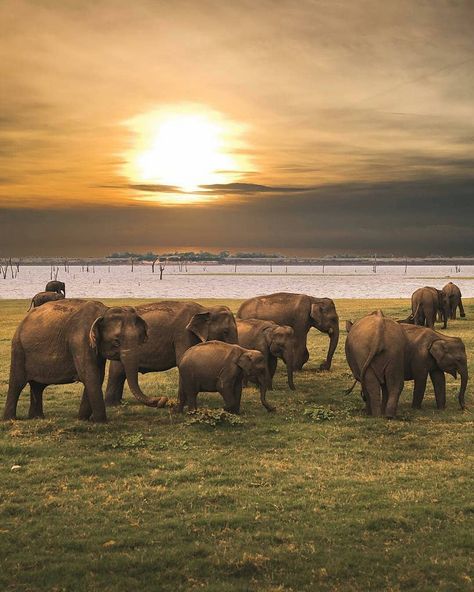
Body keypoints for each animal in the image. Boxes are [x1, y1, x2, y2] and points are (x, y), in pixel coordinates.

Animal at [3, 300, 167, 420]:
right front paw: (100, 421)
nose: (162, 400)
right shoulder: (79, 340)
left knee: (37, 386)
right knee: (17, 383)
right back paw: (10, 420)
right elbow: (90, 375)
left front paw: (82, 419)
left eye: (140, 339)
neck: (105, 311)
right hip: (18, 348)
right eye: (116, 342)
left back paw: (37, 418)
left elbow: (97, 376)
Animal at [104, 300, 237, 408]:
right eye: (225, 331)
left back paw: (117, 404)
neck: (205, 309)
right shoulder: (183, 334)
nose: (163, 400)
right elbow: (182, 361)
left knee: (119, 373)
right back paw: (113, 405)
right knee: (117, 372)